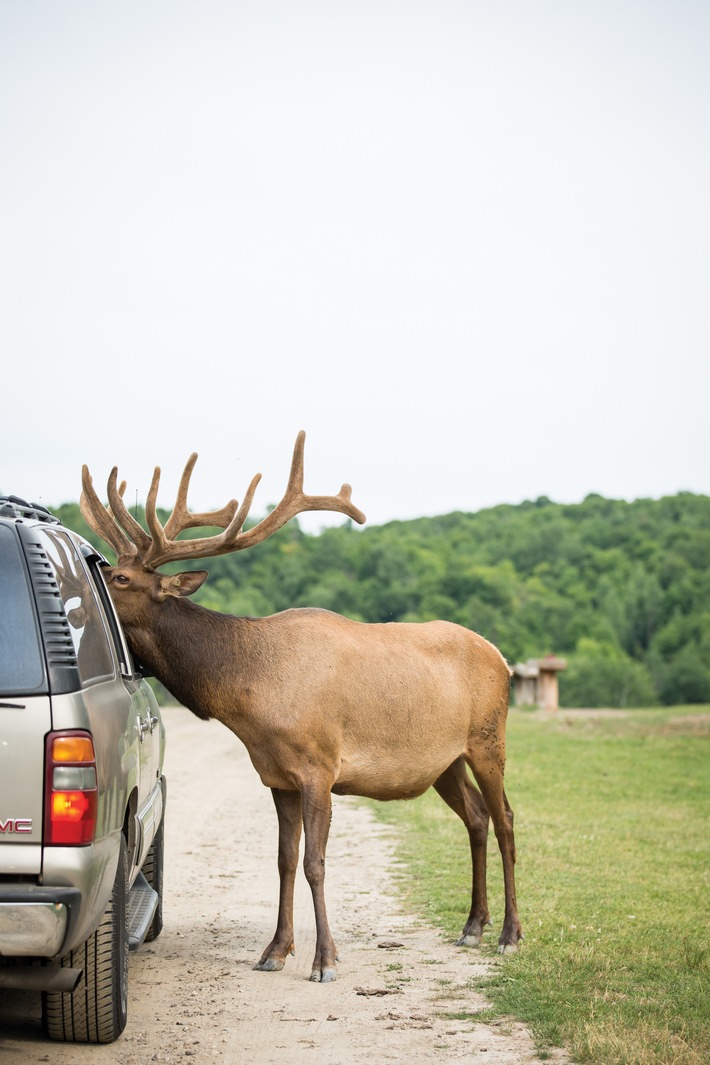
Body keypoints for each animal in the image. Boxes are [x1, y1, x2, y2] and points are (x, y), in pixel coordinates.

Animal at [81, 432, 521, 979]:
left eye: (120, 578)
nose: (78, 600)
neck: (250, 696)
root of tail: (503, 658)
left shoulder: (320, 766)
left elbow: (315, 863)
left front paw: (325, 959)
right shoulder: (277, 775)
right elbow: (285, 860)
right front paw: (275, 950)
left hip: (488, 739)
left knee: (506, 819)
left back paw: (509, 935)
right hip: (444, 760)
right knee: (477, 818)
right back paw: (473, 926)